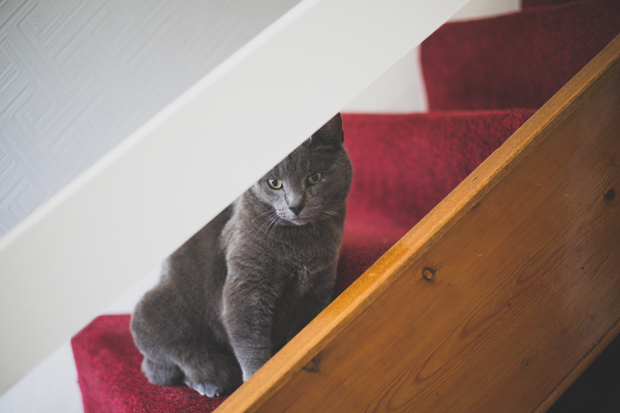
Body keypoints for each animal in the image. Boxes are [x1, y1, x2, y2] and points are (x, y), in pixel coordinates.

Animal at [130, 113, 354, 396]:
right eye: (274, 183)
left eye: (314, 177)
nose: (295, 205)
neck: (303, 246)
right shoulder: (246, 286)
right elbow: (249, 339)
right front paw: (258, 380)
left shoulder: (319, 286)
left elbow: (306, 326)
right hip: (152, 312)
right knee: (182, 362)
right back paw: (209, 382)